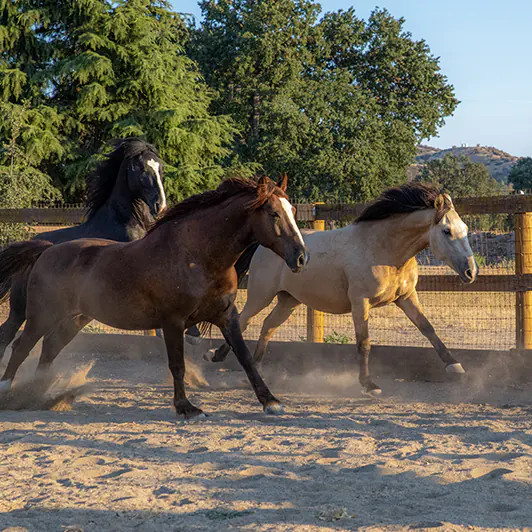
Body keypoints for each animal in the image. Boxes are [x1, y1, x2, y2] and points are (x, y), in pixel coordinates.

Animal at [0, 138, 168, 362]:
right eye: (140, 168)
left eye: (160, 167)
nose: (161, 205)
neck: (120, 225)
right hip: (22, 306)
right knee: (9, 335)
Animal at [0, 177, 308, 418]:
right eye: (273, 214)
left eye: (292, 210)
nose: (301, 257)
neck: (197, 257)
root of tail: (46, 249)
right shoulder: (173, 322)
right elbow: (177, 365)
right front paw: (186, 408)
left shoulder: (226, 316)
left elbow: (244, 357)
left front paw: (271, 402)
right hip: (41, 316)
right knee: (21, 346)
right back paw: (9, 392)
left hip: (74, 320)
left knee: (49, 348)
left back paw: (39, 392)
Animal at [208, 183, 478, 394]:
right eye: (447, 231)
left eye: (465, 229)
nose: (471, 272)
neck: (383, 248)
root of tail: (263, 246)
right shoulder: (361, 301)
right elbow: (364, 341)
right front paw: (369, 385)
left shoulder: (406, 297)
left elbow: (428, 329)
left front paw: (456, 367)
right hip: (261, 295)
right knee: (243, 321)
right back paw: (215, 356)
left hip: (288, 301)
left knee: (267, 326)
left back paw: (254, 368)